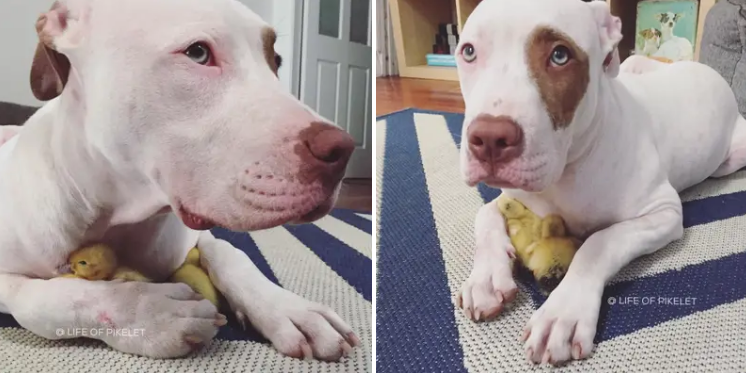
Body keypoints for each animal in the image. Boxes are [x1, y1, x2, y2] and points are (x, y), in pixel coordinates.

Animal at [0, 0, 358, 360]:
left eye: (276, 61)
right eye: (198, 53)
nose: (344, 150)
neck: (121, 215)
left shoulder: (198, 236)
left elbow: (231, 253)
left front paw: (289, 309)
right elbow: (45, 300)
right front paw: (150, 313)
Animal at [454, 0, 744, 364]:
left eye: (560, 55)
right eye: (468, 51)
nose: (489, 139)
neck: (567, 171)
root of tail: (709, 70)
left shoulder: (664, 212)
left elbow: (598, 243)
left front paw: (563, 312)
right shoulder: (515, 196)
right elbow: (485, 215)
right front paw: (486, 278)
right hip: (633, 64)